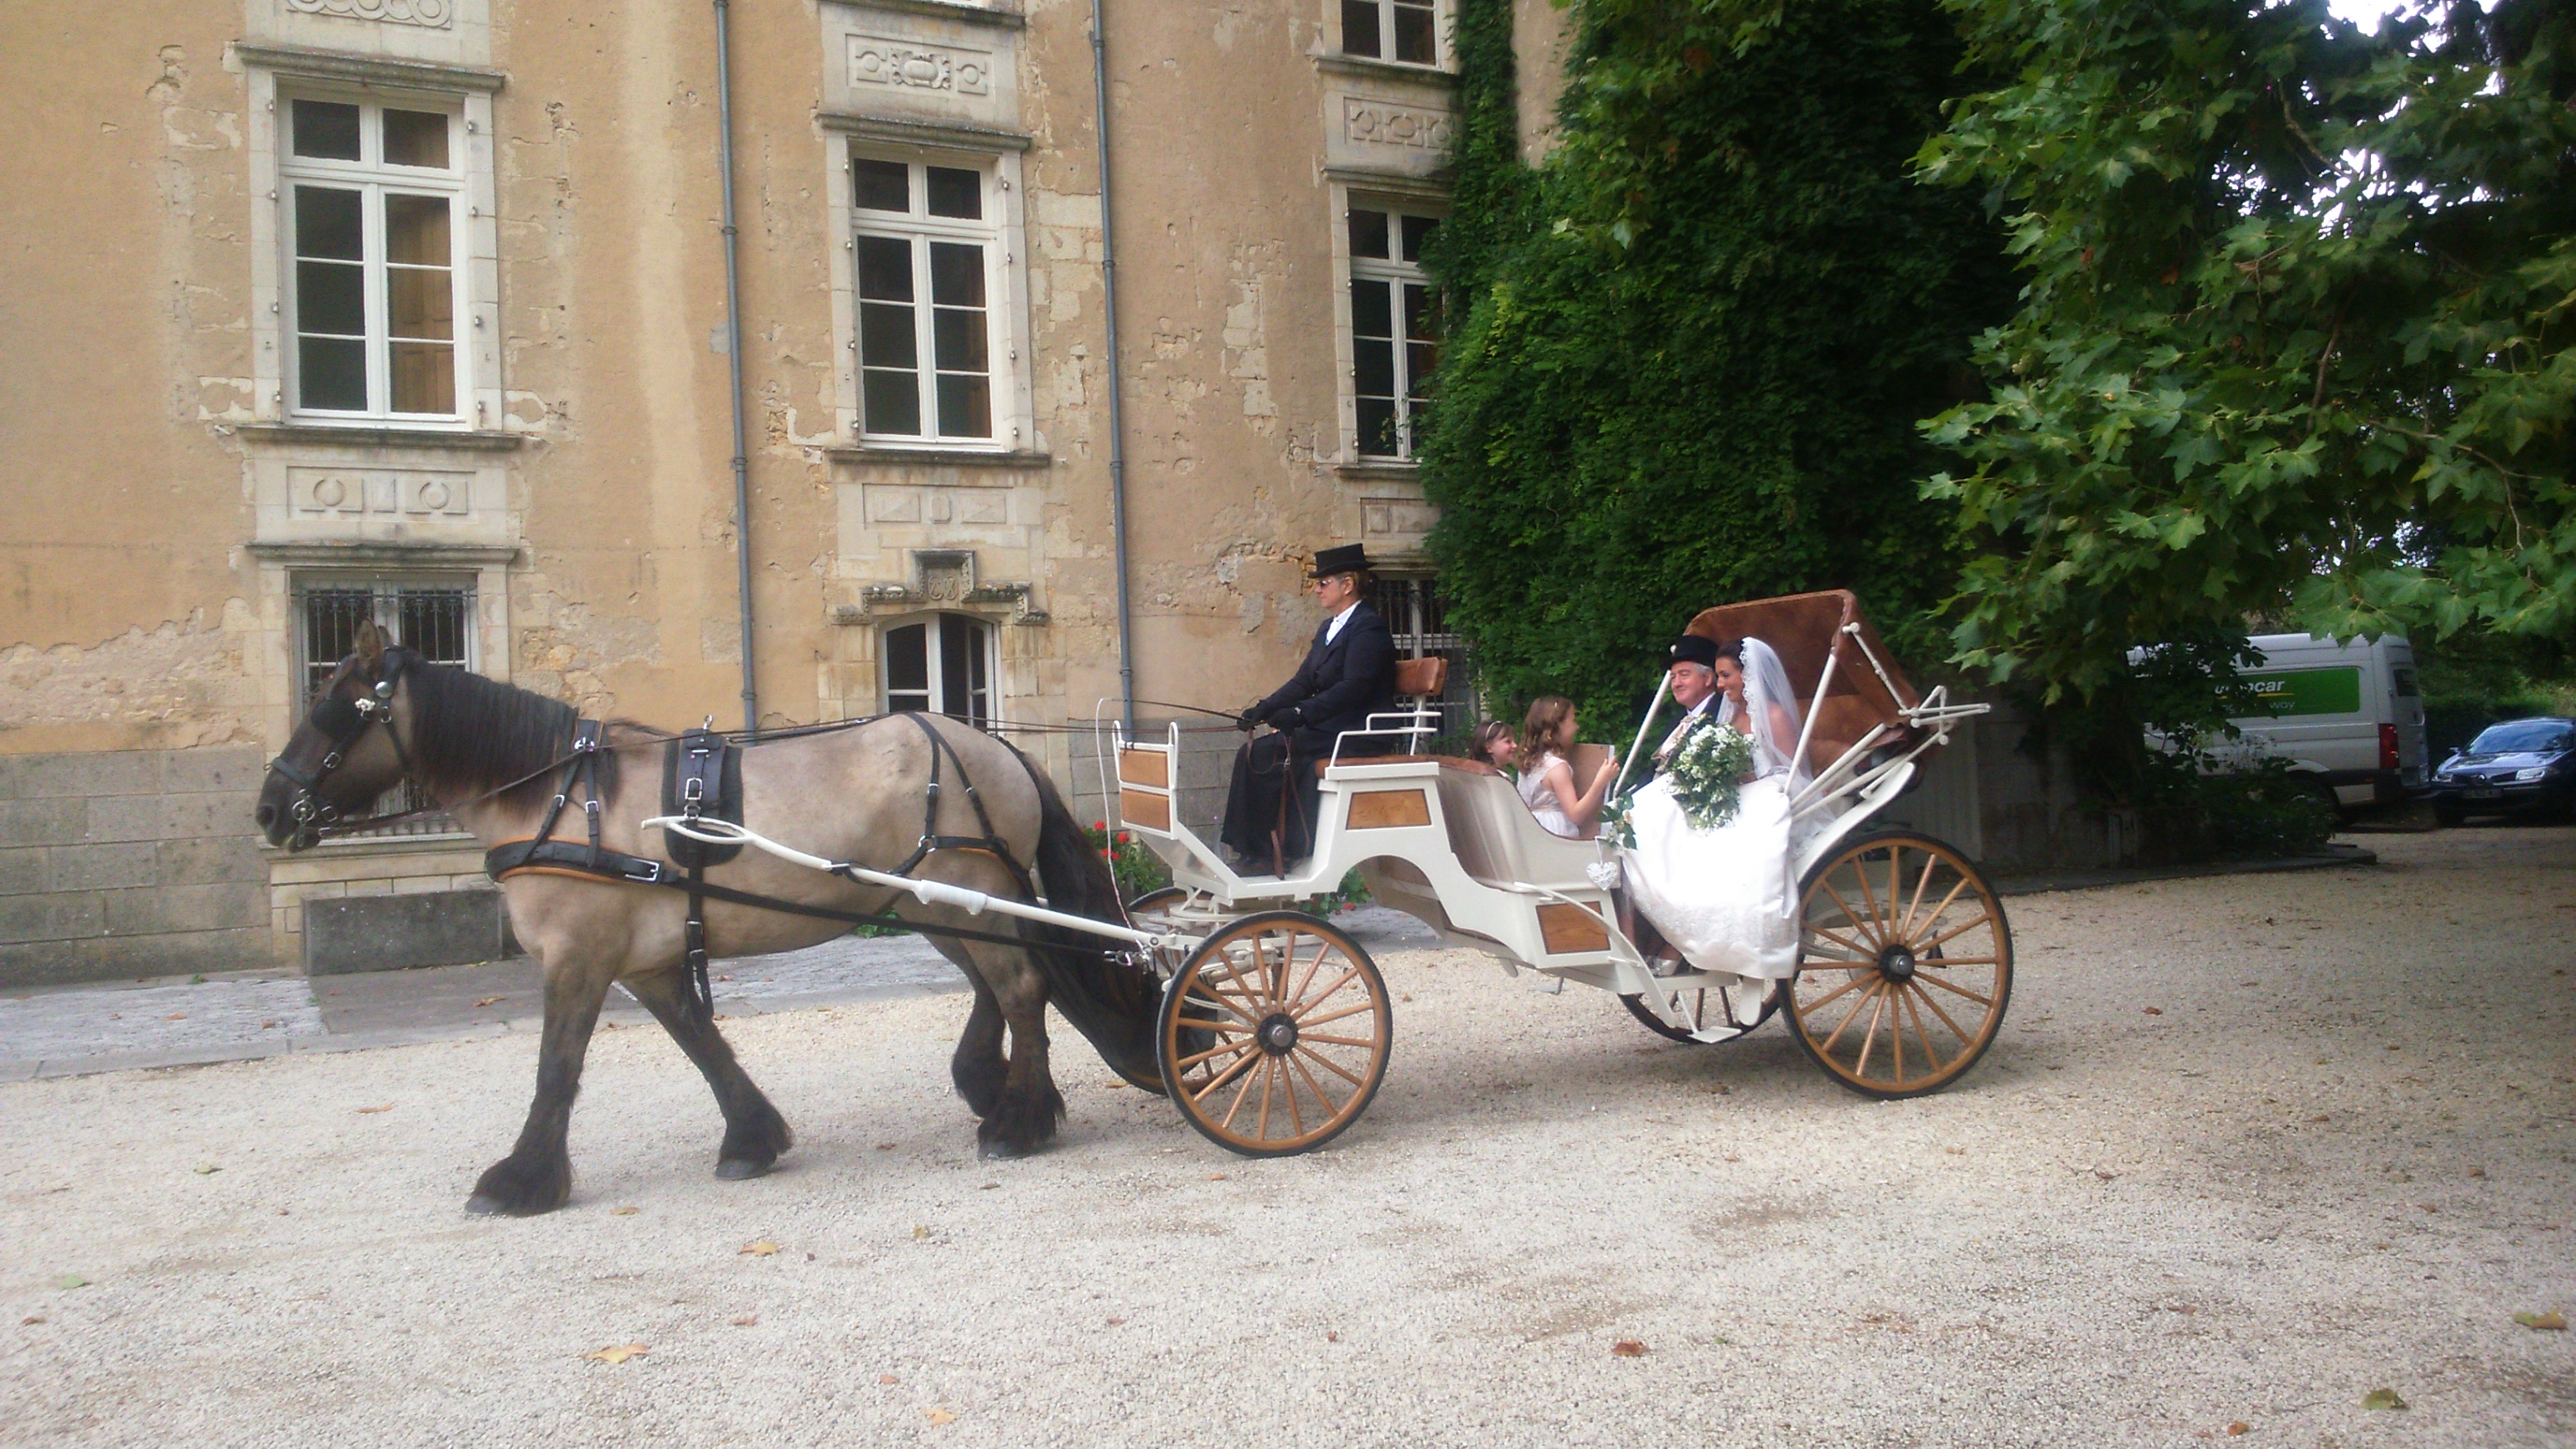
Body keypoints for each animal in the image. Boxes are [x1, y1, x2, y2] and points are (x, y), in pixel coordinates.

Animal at [248, 618, 1159, 1206]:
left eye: (335, 707)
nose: (269, 810)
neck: (558, 797)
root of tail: (993, 744)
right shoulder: (646, 963)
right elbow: (700, 1043)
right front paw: (752, 1138)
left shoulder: (577, 958)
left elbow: (556, 1068)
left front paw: (521, 1179)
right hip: (937, 902)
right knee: (1000, 984)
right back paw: (990, 1085)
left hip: (963, 892)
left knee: (1020, 988)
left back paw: (1020, 1119)